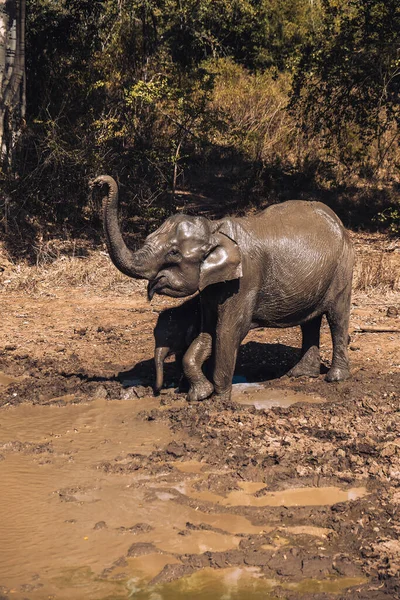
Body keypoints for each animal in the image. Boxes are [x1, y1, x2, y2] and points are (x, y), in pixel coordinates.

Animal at [93, 178, 354, 404]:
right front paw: (199, 395)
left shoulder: (245, 280)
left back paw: (335, 378)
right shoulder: (212, 288)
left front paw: (219, 401)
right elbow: (208, 330)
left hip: (343, 267)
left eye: (173, 253)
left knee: (337, 317)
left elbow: (228, 330)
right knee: (310, 321)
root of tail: (337, 220)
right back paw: (300, 374)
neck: (214, 227)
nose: (98, 182)